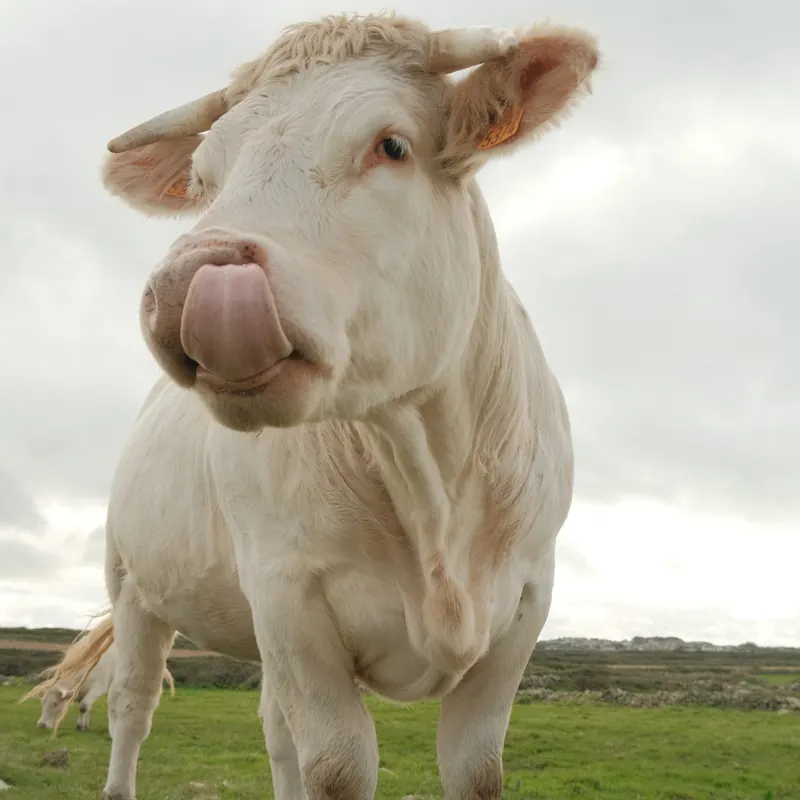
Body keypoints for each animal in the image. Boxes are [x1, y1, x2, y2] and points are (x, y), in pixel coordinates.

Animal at [24, 637, 174, 735]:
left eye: (55, 704)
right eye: (42, 703)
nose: (41, 725)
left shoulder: (99, 686)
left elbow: (84, 706)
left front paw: (80, 726)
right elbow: (86, 707)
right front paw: (85, 725)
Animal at [65, 11, 599, 799]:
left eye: (392, 145)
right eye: (203, 178)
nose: (194, 283)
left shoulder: (525, 606)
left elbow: (474, 768)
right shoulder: (288, 600)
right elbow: (338, 767)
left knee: (274, 732)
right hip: (134, 585)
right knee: (132, 708)